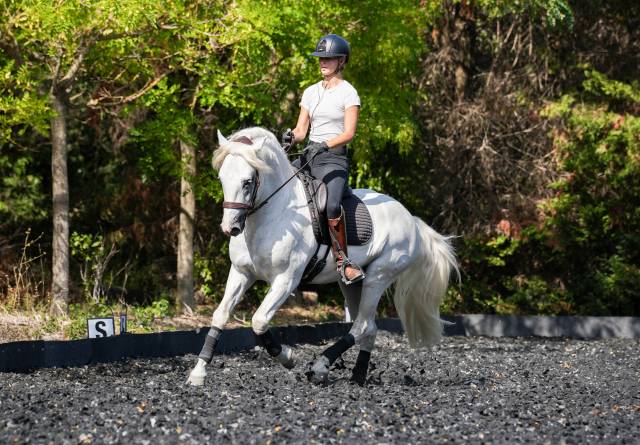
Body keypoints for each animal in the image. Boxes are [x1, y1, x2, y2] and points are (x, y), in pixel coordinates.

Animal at [187, 127, 458, 386]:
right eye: (222, 178)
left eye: (247, 182)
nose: (230, 227)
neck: (272, 214)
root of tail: (411, 219)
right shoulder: (241, 273)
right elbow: (220, 315)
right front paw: (198, 372)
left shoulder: (286, 280)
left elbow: (259, 321)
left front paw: (288, 358)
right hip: (351, 283)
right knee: (369, 326)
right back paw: (358, 376)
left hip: (379, 276)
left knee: (362, 324)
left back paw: (320, 366)